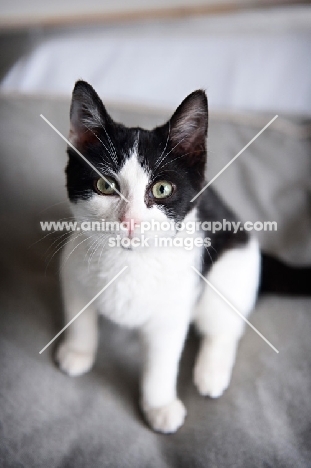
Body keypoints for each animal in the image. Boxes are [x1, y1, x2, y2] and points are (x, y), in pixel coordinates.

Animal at [56, 79, 260, 432]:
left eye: (161, 189)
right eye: (105, 185)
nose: (130, 221)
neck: (129, 262)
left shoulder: (174, 309)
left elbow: (161, 362)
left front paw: (160, 405)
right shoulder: (72, 266)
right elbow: (79, 314)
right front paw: (78, 352)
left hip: (236, 263)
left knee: (225, 325)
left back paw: (211, 373)